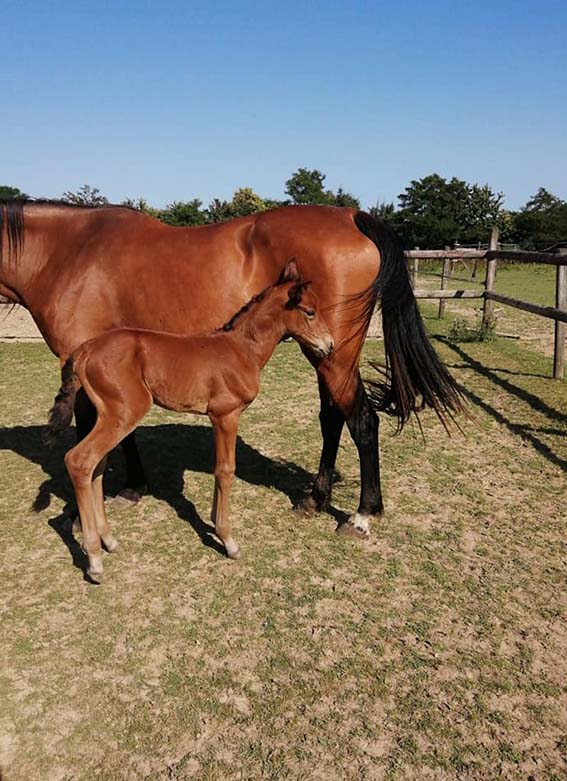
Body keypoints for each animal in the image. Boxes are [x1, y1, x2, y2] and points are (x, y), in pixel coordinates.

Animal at [0, 198, 464, 536]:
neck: (69, 252)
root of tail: (351, 215)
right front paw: (134, 487)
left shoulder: (79, 361)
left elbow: (91, 436)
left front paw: (87, 515)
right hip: (322, 353)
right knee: (333, 418)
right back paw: (316, 498)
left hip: (335, 355)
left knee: (363, 421)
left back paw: (363, 514)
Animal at [48, 260, 336, 580]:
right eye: (310, 312)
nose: (330, 345)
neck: (242, 350)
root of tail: (84, 350)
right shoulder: (226, 415)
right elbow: (226, 470)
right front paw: (228, 540)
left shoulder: (216, 418)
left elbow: (219, 468)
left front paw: (214, 522)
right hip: (123, 413)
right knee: (79, 461)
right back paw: (95, 559)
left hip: (110, 416)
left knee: (97, 466)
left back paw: (108, 540)